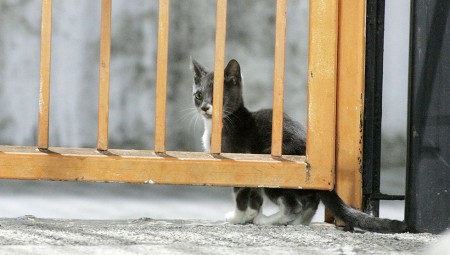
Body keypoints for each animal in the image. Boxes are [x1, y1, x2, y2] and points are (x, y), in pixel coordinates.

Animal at [188, 57, 406, 233]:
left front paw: (238, 218)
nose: (205, 107)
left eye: (218, 97)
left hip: (273, 168)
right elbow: (255, 198)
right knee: (310, 200)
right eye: (198, 95)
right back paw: (297, 222)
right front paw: (251, 214)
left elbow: (241, 195)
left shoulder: (240, 160)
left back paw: (270, 221)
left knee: (292, 205)